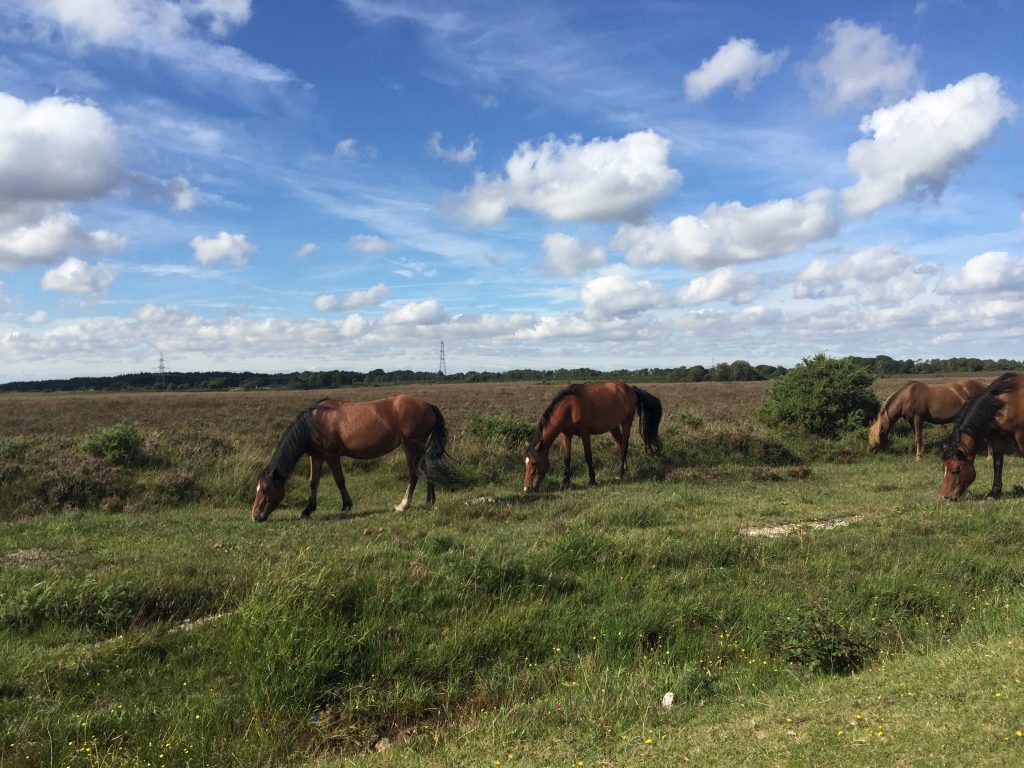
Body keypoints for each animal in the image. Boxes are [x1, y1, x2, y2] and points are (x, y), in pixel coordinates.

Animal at [249, 397, 450, 524]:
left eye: (266, 489)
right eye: (257, 488)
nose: (255, 516)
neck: (314, 423)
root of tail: (428, 404)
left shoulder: (332, 455)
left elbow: (339, 480)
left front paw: (346, 506)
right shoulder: (317, 456)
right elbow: (313, 482)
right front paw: (308, 509)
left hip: (411, 447)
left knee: (414, 473)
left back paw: (403, 505)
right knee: (426, 470)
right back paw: (429, 501)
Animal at [520, 382, 663, 495]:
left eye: (534, 463)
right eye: (525, 463)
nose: (527, 488)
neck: (570, 407)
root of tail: (630, 389)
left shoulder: (585, 434)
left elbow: (588, 456)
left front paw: (592, 481)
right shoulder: (565, 435)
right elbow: (567, 458)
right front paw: (565, 483)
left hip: (626, 422)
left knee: (624, 445)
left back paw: (619, 473)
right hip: (614, 426)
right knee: (621, 443)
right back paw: (624, 467)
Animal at [937, 374, 1024, 505]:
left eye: (955, 471)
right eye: (943, 469)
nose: (944, 497)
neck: (1008, 401)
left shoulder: (1020, 434)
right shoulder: (997, 437)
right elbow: (997, 463)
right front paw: (994, 493)